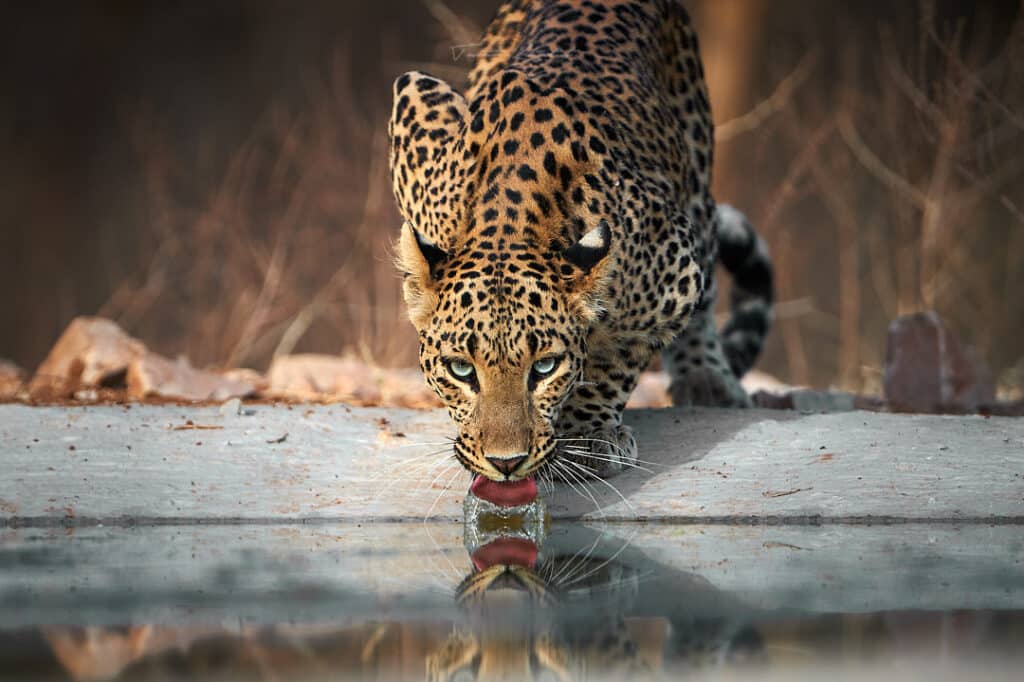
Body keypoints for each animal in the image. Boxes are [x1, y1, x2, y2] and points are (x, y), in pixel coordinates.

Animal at [389, 0, 773, 485]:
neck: (509, 221)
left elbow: (619, 354)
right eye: (460, 370)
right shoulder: (414, 95)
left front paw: (588, 434)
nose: (505, 463)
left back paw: (707, 379)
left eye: (544, 367)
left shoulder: (675, 264)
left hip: (697, 169)